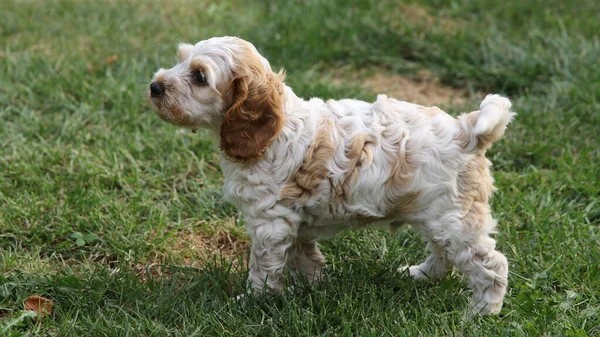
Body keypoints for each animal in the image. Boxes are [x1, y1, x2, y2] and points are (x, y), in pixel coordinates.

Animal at [146, 36, 516, 316]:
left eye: (199, 77)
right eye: (181, 60)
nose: (154, 86)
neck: (274, 132)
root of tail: (468, 130)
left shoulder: (269, 222)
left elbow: (262, 268)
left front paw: (251, 302)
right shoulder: (292, 221)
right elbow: (303, 257)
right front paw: (312, 287)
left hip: (454, 220)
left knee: (492, 265)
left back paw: (480, 313)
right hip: (435, 215)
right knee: (443, 253)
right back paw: (421, 275)